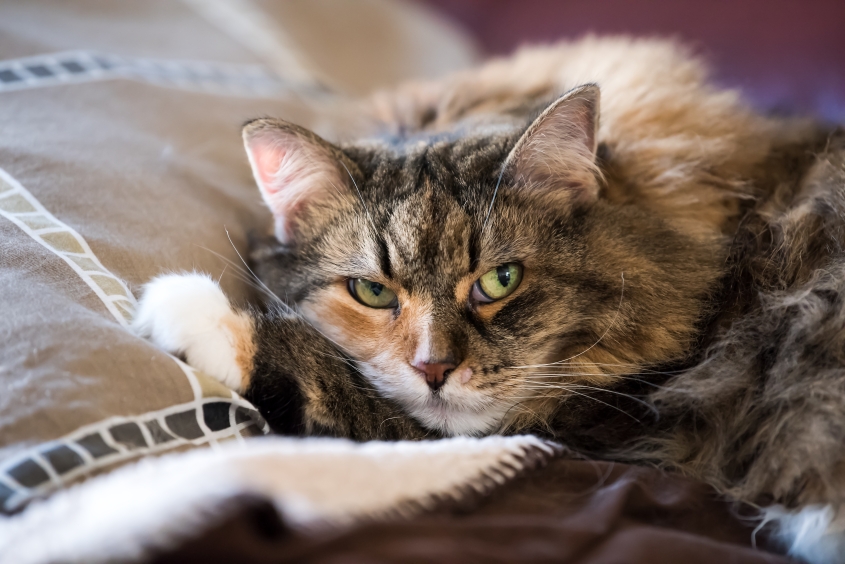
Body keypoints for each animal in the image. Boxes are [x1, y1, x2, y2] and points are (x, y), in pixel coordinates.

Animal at [134, 37, 844, 560]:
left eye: (501, 281)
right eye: (372, 291)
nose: (434, 369)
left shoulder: (588, 425)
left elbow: (334, 381)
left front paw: (188, 310)